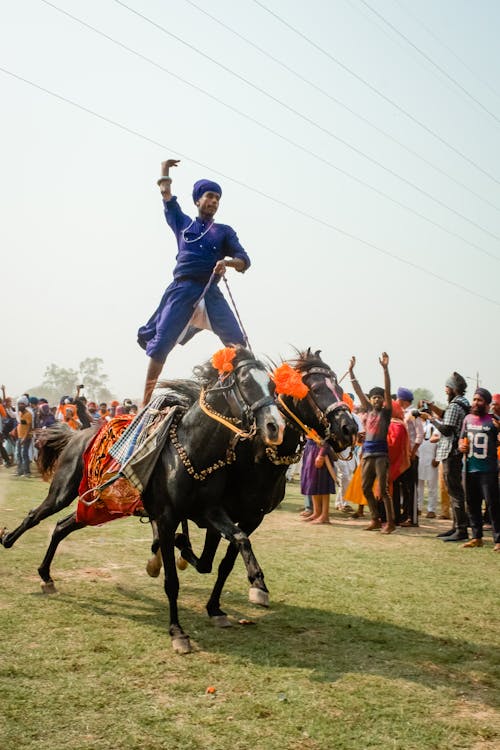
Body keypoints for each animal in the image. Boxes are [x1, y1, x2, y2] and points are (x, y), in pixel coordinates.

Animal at [146, 352, 358, 628]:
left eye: (340, 389)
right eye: (314, 389)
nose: (349, 429)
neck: (258, 464)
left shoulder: (252, 519)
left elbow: (222, 563)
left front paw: (219, 605)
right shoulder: (216, 513)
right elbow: (210, 559)